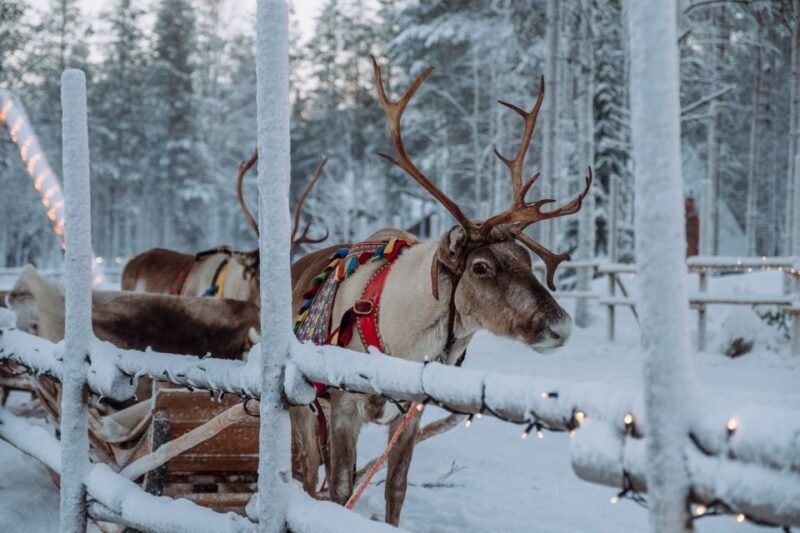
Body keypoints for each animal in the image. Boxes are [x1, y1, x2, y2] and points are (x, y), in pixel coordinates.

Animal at [288, 57, 591, 526]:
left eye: (528, 261)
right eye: (481, 267)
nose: (562, 325)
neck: (399, 339)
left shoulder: (412, 411)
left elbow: (395, 488)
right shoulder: (342, 408)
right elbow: (339, 489)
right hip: (302, 405)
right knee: (305, 468)